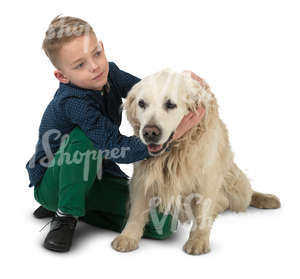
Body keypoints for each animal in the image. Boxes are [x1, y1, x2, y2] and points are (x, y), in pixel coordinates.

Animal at [110, 68, 282, 256]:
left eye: (170, 104)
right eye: (142, 103)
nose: (149, 132)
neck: (174, 151)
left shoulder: (207, 176)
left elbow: (202, 212)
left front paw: (198, 240)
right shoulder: (142, 175)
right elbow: (136, 210)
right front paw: (128, 237)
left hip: (238, 188)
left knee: (247, 194)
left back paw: (267, 199)